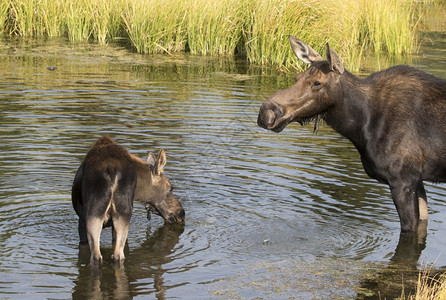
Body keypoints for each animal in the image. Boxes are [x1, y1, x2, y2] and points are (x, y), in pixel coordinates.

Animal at [72, 136, 184, 264]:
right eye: (171, 188)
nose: (181, 213)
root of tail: (112, 169)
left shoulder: (81, 220)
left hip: (94, 214)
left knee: (98, 256)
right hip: (119, 215)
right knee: (117, 255)